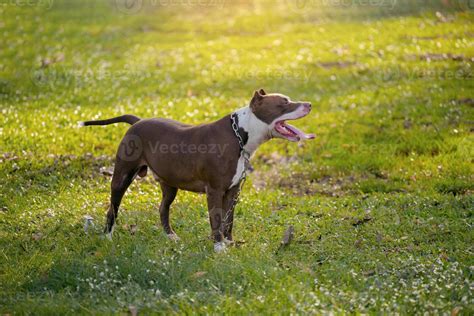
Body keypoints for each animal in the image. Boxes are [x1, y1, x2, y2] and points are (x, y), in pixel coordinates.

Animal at [81, 88, 314, 252]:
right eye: (284, 103)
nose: (310, 104)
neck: (239, 135)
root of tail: (137, 121)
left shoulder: (233, 191)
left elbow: (229, 220)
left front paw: (229, 243)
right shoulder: (215, 190)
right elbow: (217, 220)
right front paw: (219, 248)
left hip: (169, 185)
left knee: (163, 208)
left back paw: (171, 236)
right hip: (122, 176)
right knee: (113, 207)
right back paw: (107, 236)